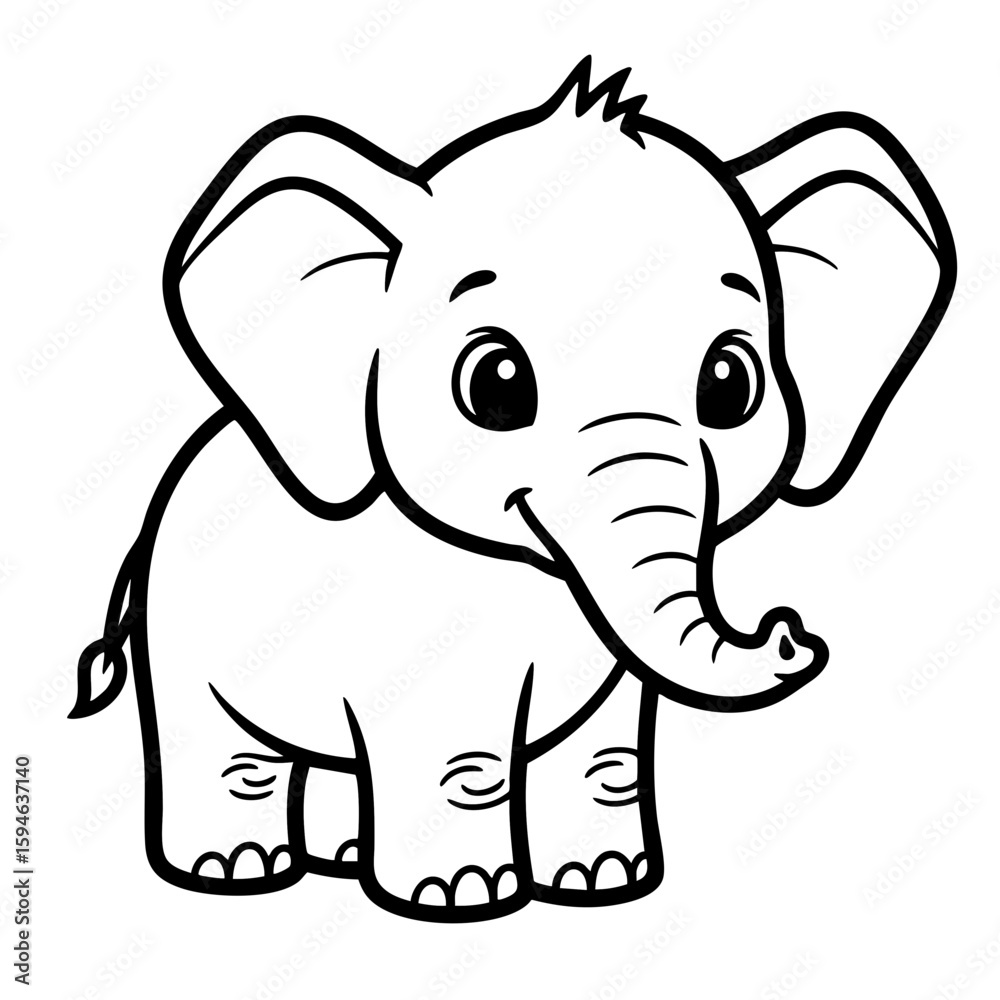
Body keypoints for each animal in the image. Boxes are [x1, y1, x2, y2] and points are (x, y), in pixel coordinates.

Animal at [71, 56, 955, 922]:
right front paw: (461, 897)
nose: (790, 632)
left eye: (731, 384)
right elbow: (458, 755)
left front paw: (603, 880)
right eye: (495, 384)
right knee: (227, 753)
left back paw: (343, 856)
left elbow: (605, 753)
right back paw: (234, 870)